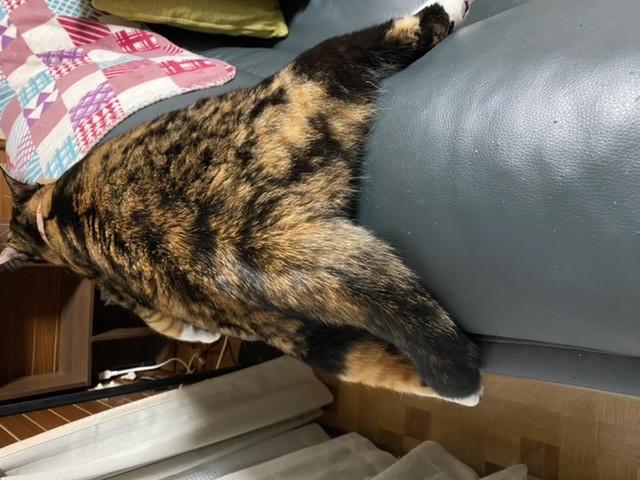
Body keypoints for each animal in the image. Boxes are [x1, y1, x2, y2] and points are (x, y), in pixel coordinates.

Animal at [0, 0, 482, 406]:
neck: (47, 218)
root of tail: (248, 236)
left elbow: (172, 325)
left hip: (281, 322)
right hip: (311, 77)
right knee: (397, 32)